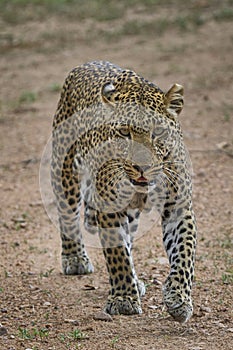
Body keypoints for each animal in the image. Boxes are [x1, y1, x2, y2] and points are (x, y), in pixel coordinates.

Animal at [51, 60, 197, 322]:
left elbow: (184, 252)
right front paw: (123, 299)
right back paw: (75, 258)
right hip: (65, 170)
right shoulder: (109, 206)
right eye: (124, 132)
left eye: (158, 132)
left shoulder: (178, 207)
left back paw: (137, 281)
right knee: (67, 216)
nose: (142, 167)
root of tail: (86, 63)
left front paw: (179, 298)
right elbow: (117, 254)